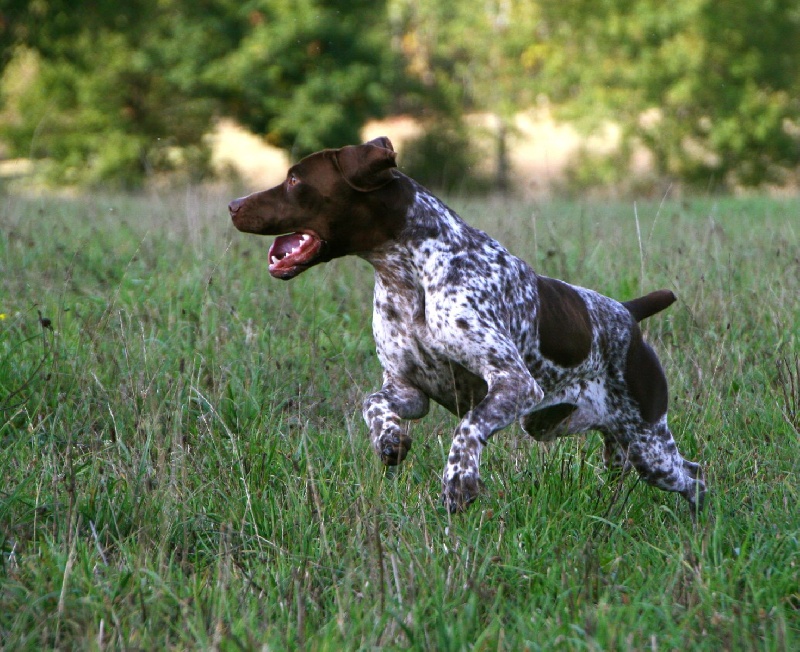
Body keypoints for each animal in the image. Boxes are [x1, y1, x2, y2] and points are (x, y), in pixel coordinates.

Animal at [227, 138, 708, 516]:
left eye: (295, 180)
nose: (232, 205)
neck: (408, 276)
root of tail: (627, 312)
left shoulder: (515, 384)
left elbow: (468, 429)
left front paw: (459, 479)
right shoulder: (408, 390)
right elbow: (372, 403)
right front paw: (389, 439)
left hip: (647, 443)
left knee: (695, 477)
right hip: (571, 427)